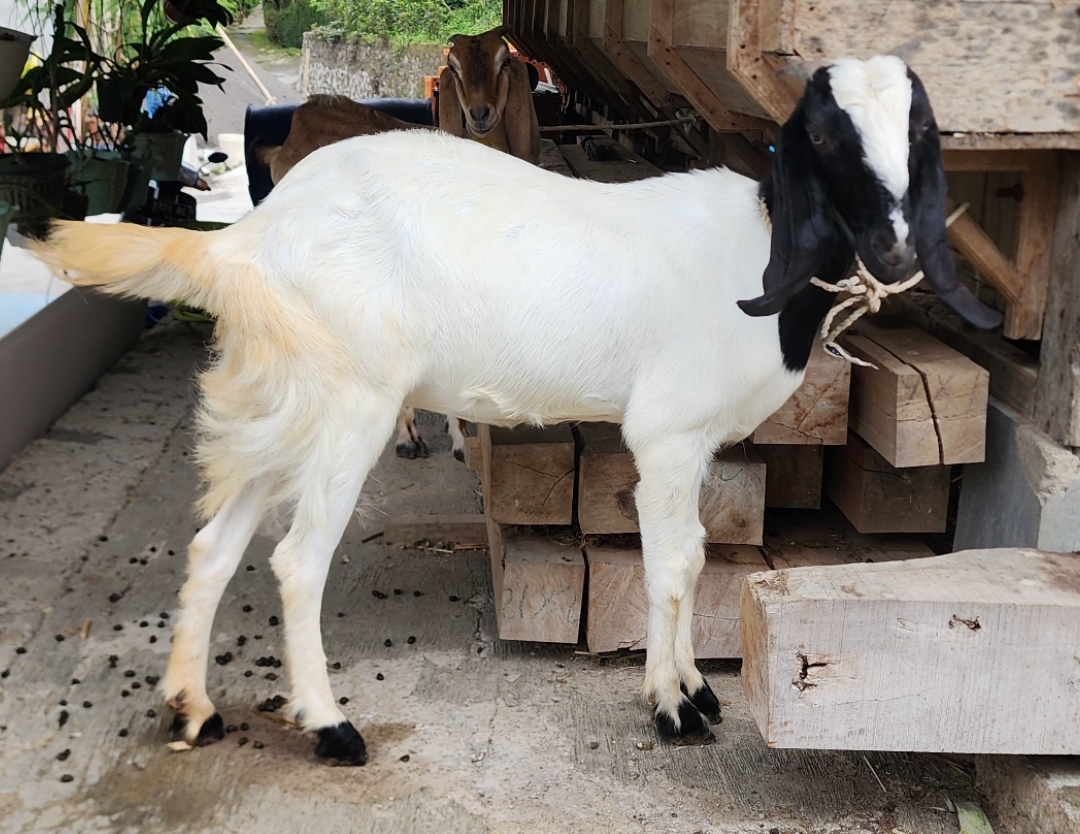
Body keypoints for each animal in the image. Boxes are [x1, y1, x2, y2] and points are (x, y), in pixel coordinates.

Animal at [33, 56, 1001, 765]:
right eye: (827, 133)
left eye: (919, 130)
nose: (895, 246)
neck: (761, 250)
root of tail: (249, 240)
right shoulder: (666, 432)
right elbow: (670, 568)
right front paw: (671, 709)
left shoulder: (697, 443)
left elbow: (694, 556)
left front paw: (696, 687)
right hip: (351, 402)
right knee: (298, 560)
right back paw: (330, 727)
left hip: (288, 397)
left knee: (214, 546)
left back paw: (192, 710)